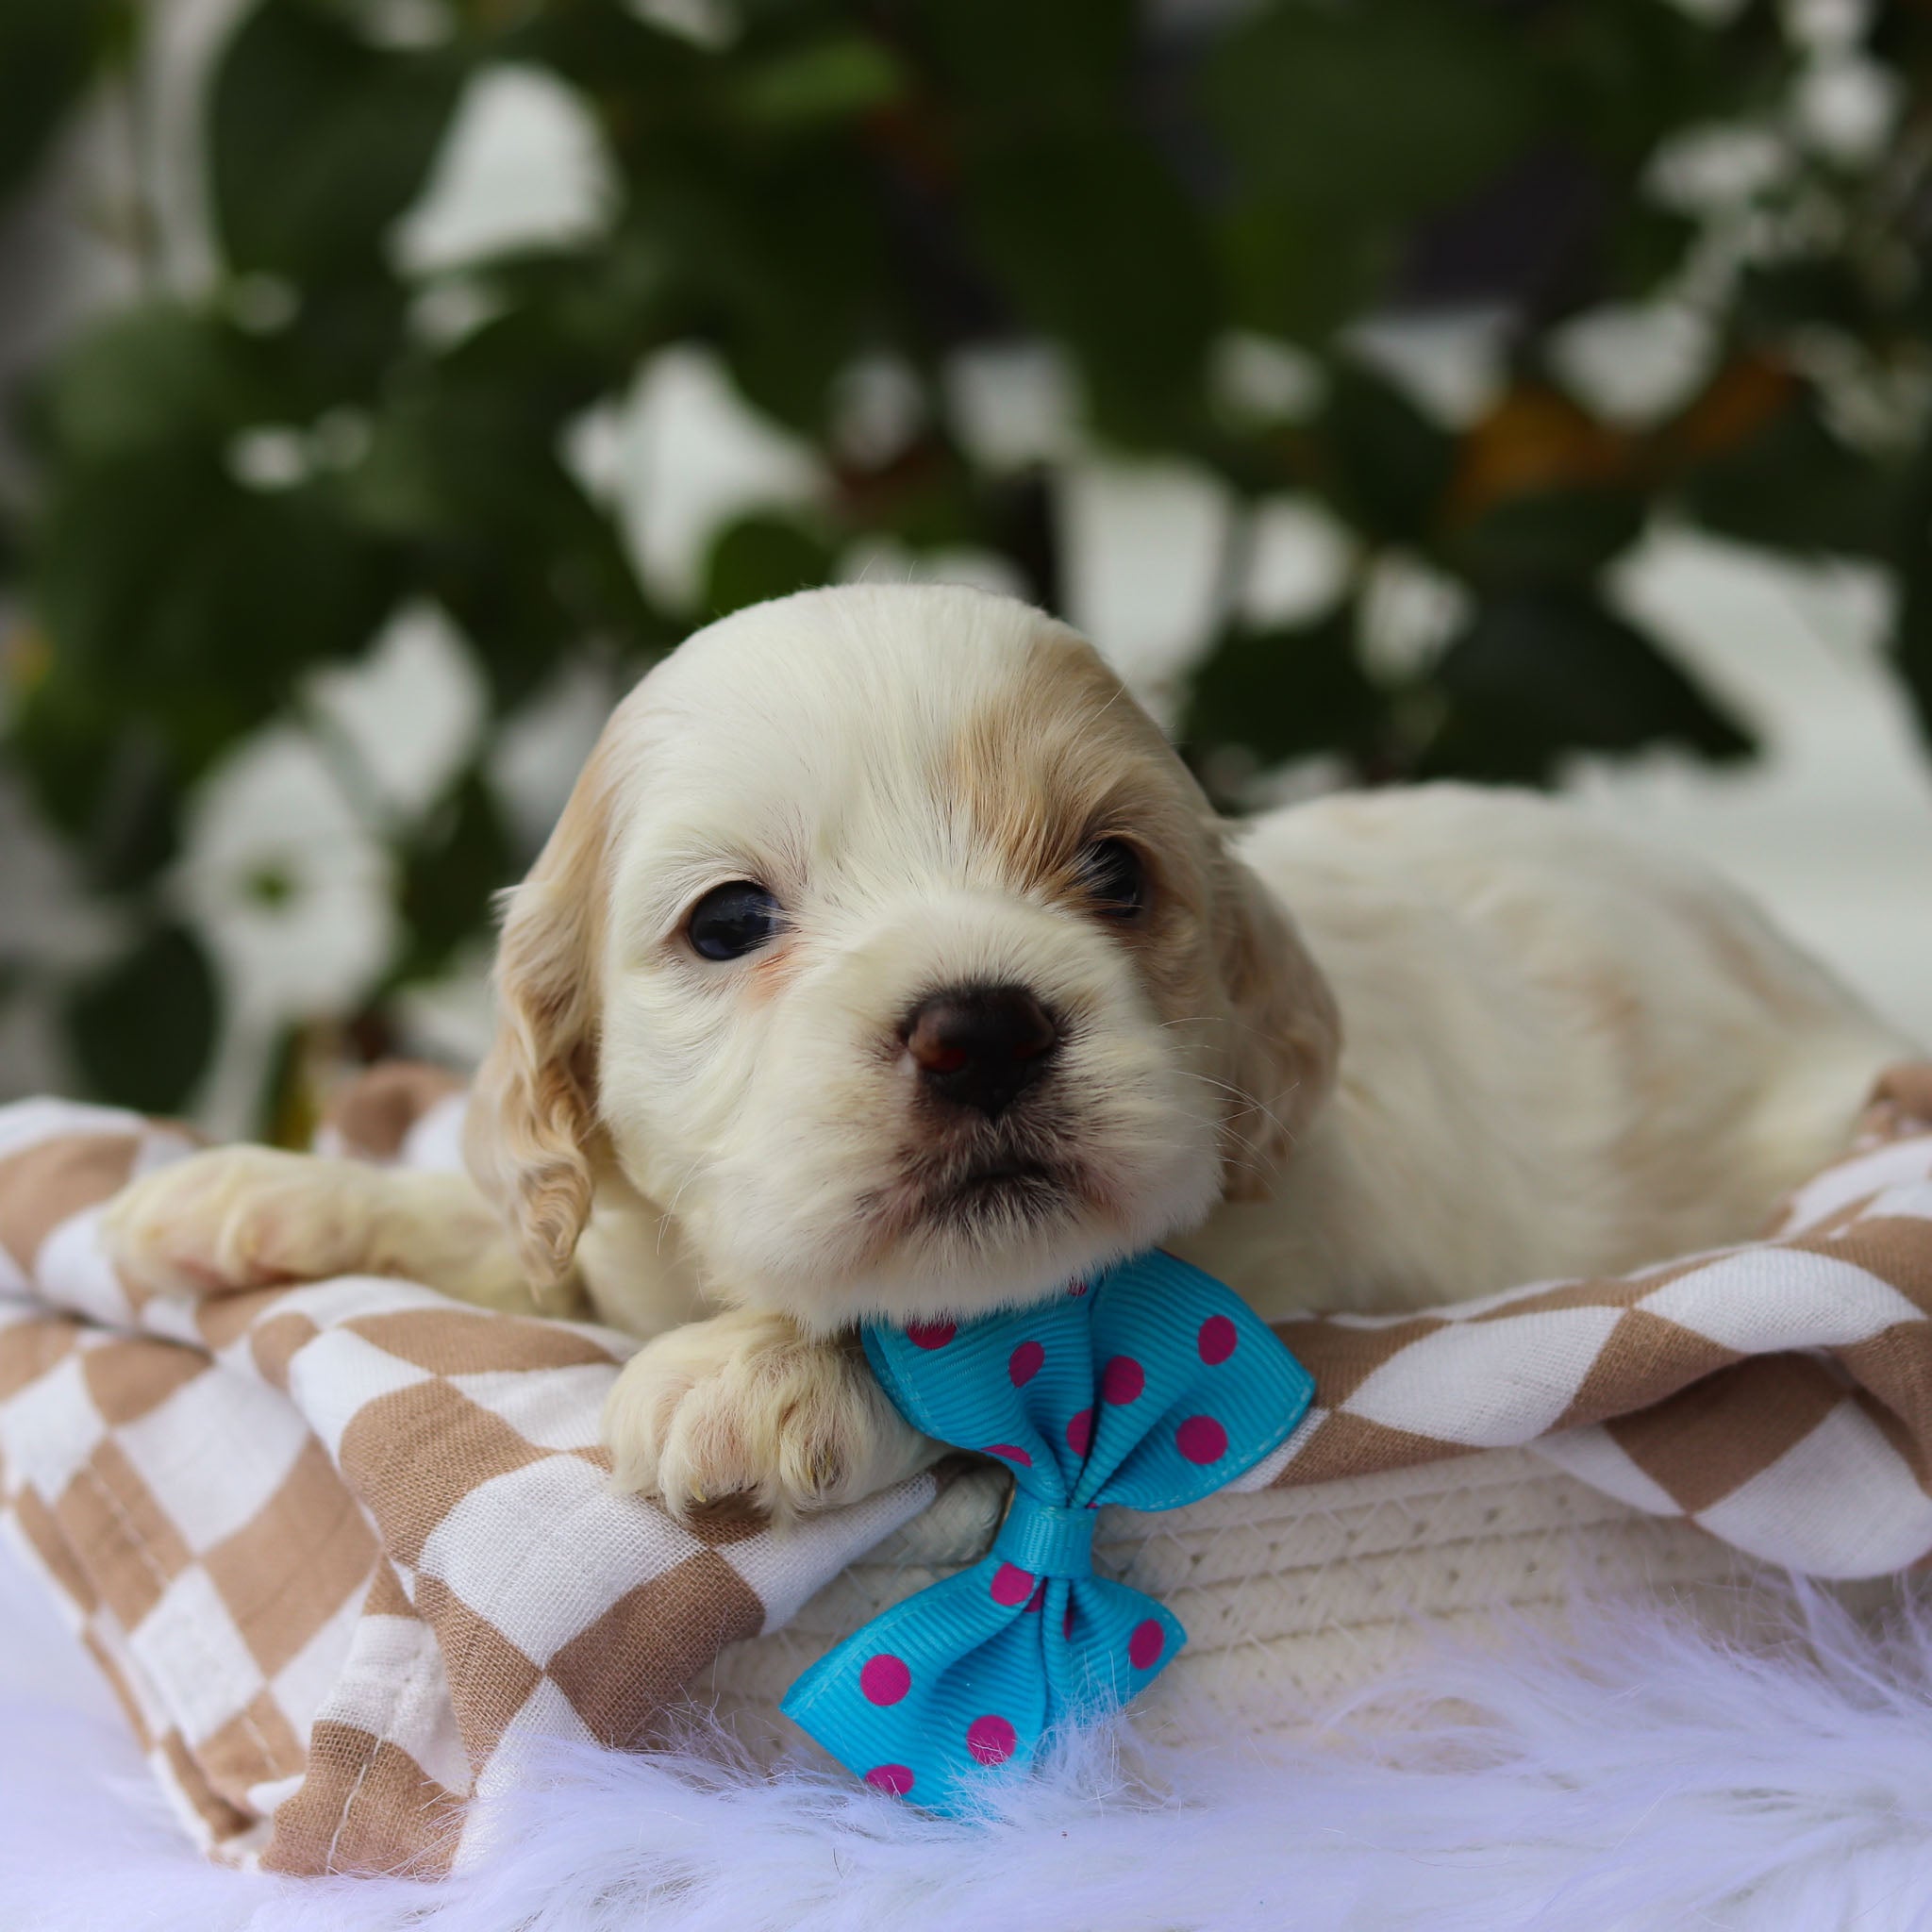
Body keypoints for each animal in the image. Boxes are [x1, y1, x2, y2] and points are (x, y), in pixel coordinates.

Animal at [109, 579, 1916, 1514]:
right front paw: (258, 1195)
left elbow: (1030, 1342)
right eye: (726, 920)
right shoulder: (605, 1236)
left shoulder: (1284, 1266)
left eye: (1114, 874)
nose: (981, 1029)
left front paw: (755, 1377)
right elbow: (522, 1235)